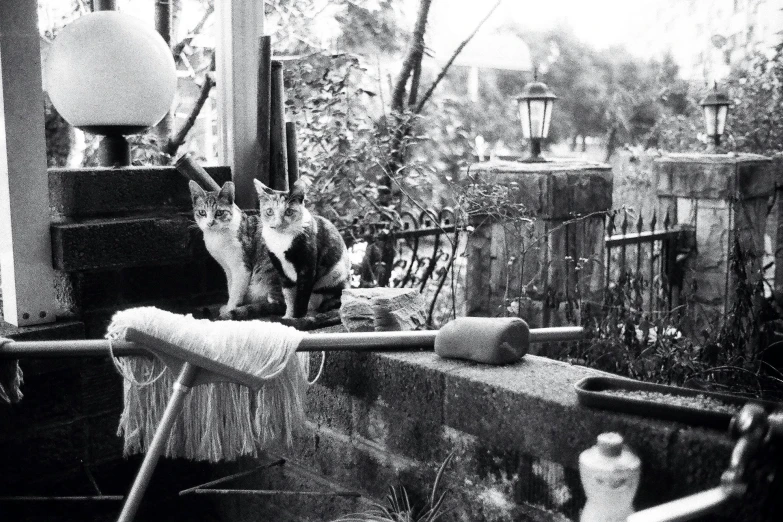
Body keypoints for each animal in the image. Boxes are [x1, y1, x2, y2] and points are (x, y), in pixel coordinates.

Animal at [188, 179, 284, 316]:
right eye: (202, 212)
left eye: (219, 213)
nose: (210, 223)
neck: (217, 236)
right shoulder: (227, 267)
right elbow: (230, 286)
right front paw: (230, 306)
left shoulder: (241, 267)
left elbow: (236, 290)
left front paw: (231, 309)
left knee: (276, 304)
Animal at [254, 178, 352, 316]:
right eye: (269, 211)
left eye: (289, 212)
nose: (277, 224)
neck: (281, 240)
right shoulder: (281, 270)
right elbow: (289, 296)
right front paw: (288, 316)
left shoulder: (307, 269)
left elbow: (301, 297)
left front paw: (298, 318)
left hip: (336, 276)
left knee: (340, 296)